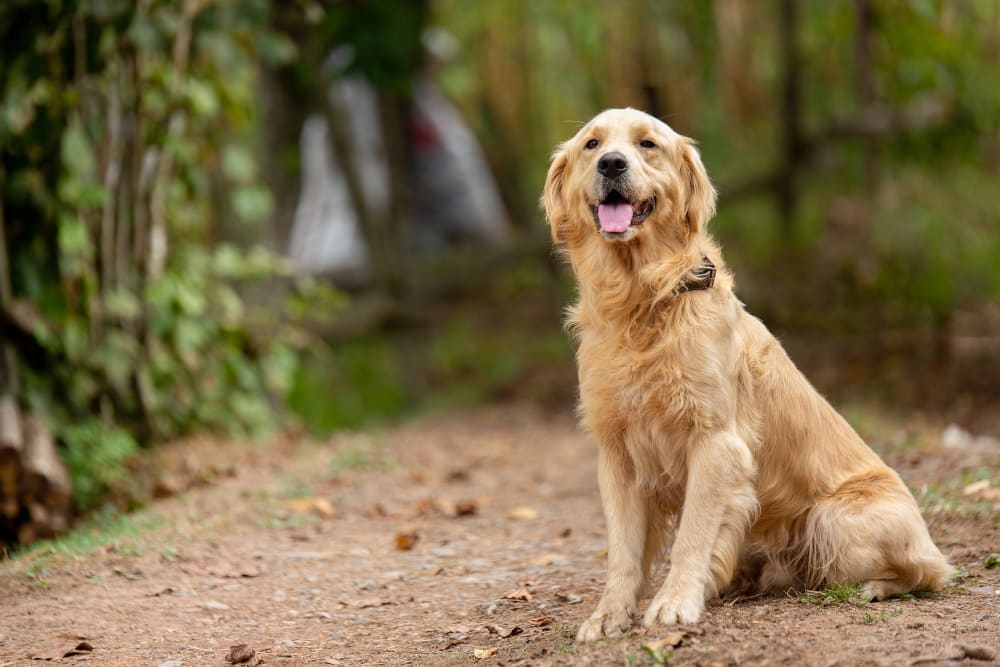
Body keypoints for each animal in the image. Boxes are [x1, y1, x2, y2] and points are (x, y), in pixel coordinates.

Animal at [544, 108, 948, 640]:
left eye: (647, 144)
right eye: (592, 145)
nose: (612, 164)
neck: (643, 302)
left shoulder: (715, 442)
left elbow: (692, 535)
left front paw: (674, 603)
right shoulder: (618, 455)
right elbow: (623, 552)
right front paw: (609, 614)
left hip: (834, 522)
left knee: (926, 573)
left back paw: (873, 587)